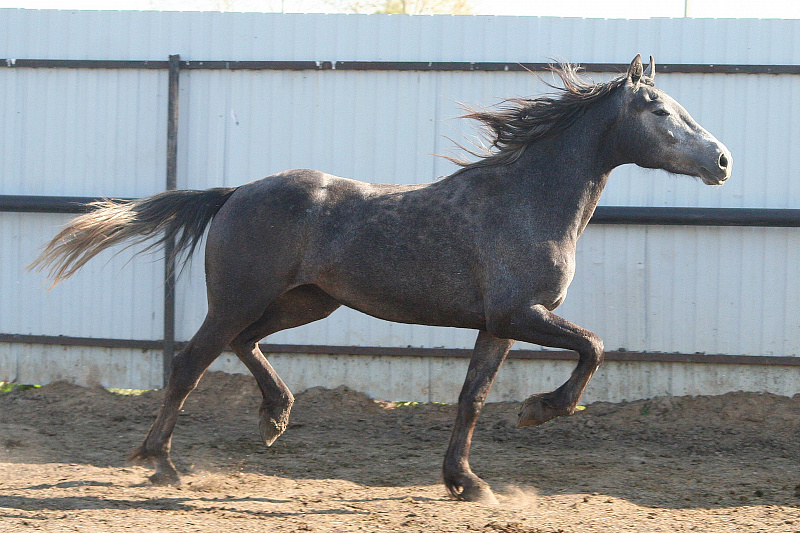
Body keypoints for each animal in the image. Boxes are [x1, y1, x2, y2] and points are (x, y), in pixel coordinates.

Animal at [31, 54, 731, 503]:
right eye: (661, 110)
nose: (722, 160)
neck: (527, 200)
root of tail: (233, 194)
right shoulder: (520, 315)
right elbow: (594, 346)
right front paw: (538, 412)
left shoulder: (497, 326)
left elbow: (472, 398)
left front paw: (466, 483)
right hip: (240, 298)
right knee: (191, 362)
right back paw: (162, 463)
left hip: (305, 302)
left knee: (240, 345)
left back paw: (275, 417)